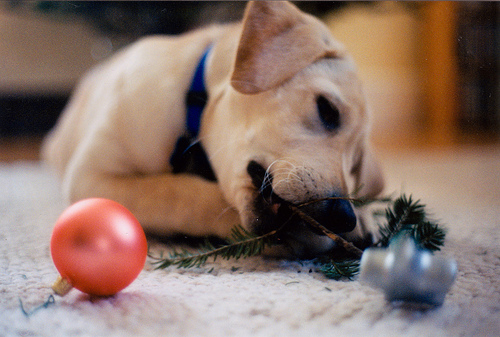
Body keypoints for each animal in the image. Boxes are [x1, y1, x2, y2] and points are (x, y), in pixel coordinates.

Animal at [45, 1, 384, 256]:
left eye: (354, 163)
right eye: (327, 109)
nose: (342, 216)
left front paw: (364, 218)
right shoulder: (91, 177)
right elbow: (178, 192)